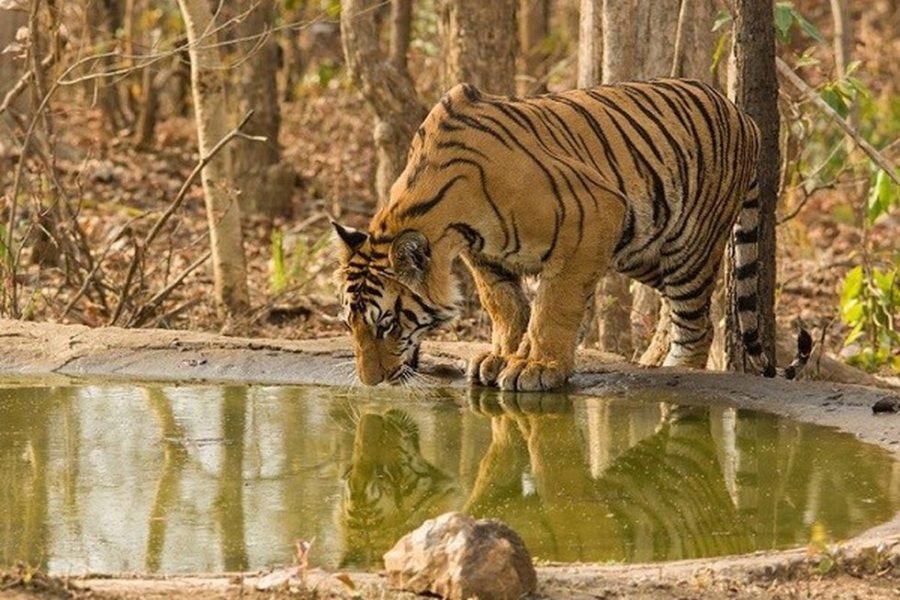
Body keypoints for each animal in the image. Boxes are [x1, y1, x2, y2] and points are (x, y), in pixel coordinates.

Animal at [334, 78, 812, 390]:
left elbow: (554, 307)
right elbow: (505, 306)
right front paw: (501, 356)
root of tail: (745, 117)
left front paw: (537, 367)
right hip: (642, 249)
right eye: (348, 325)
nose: (371, 383)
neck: (452, 221)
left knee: (697, 326)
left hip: (686, 250)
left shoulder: (594, 216)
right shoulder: (485, 258)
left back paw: (675, 373)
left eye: (388, 324)